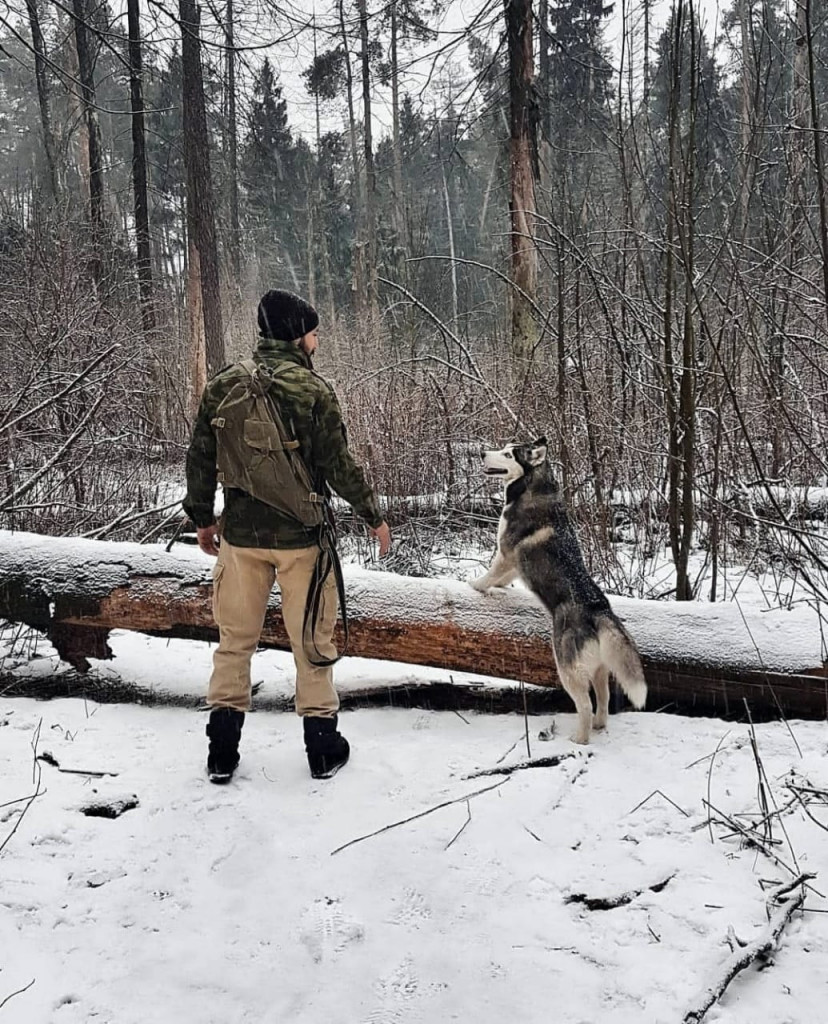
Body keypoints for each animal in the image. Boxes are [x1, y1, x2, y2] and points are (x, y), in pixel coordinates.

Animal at [470, 438, 646, 745]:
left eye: (508, 453)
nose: (480, 452)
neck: (532, 485)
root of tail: (599, 609)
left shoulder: (506, 552)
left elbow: (491, 572)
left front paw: (478, 585)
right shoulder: (517, 562)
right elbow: (505, 577)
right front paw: (500, 586)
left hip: (567, 666)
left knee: (585, 704)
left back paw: (580, 739)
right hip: (598, 667)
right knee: (603, 698)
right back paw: (599, 725)